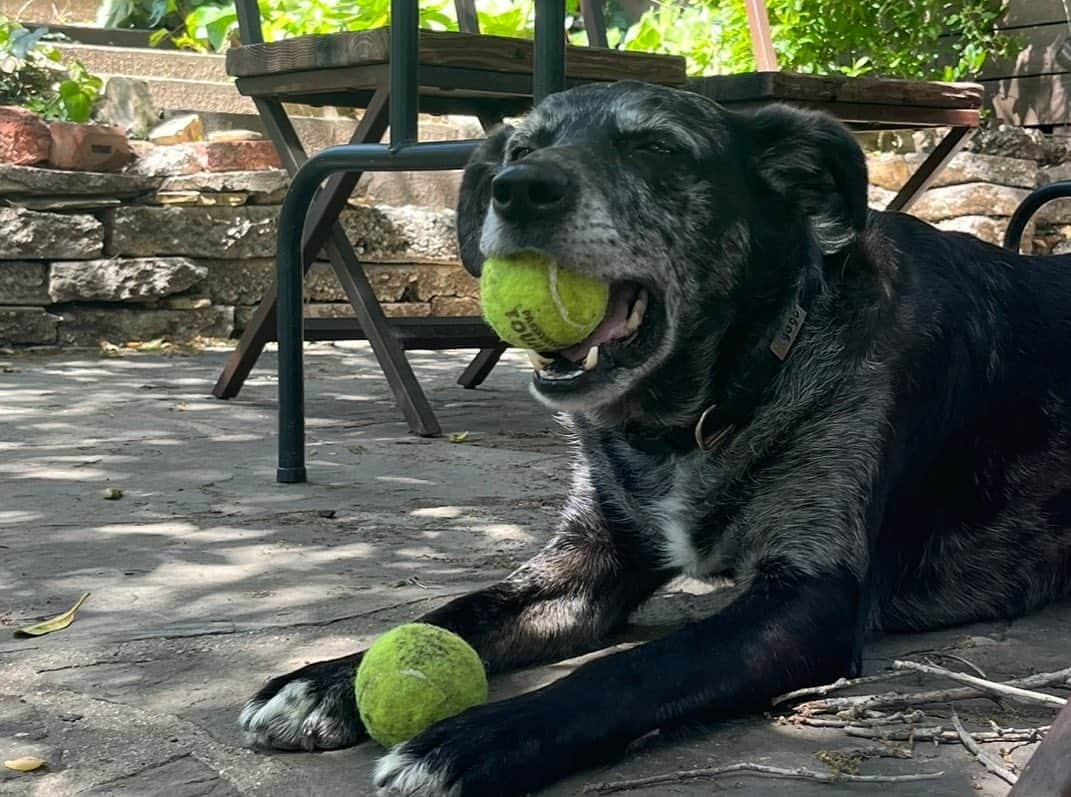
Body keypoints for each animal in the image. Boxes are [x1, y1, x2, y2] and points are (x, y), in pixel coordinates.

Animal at [240, 82, 1071, 797]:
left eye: (657, 149)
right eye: (520, 149)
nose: (518, 189)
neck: (694, 420)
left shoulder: (811, 596)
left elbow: (633, 668)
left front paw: (470, 740)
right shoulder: (588, 562)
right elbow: (458, 610)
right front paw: (323, 679)